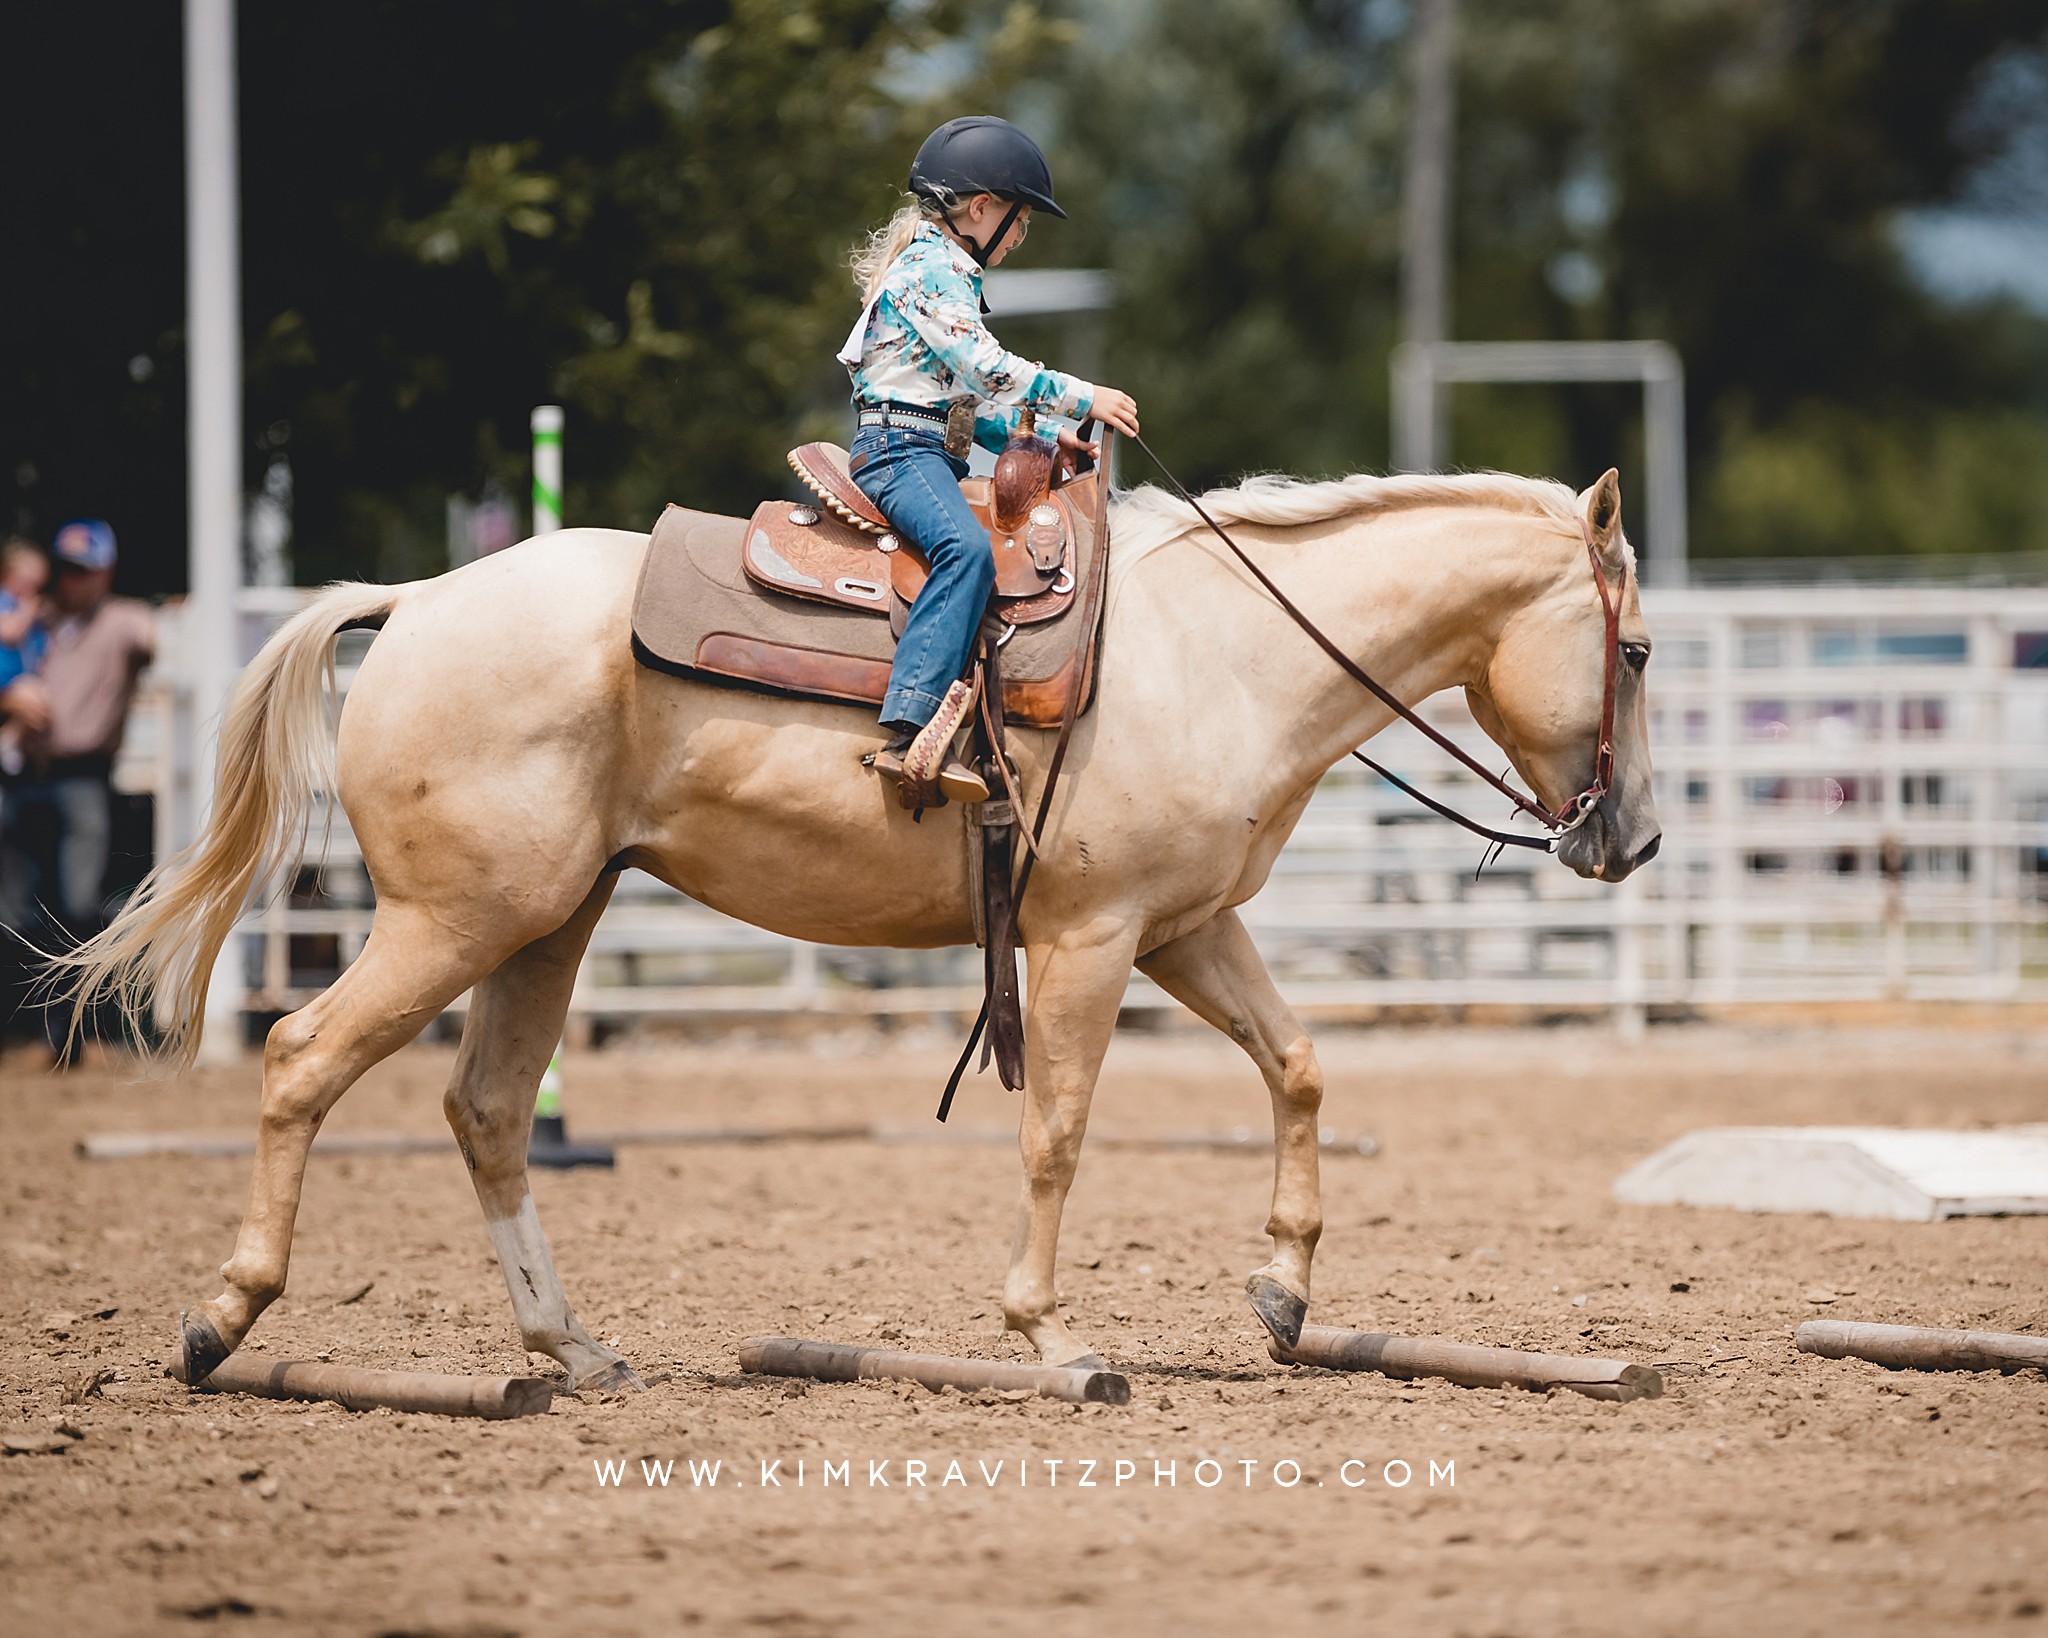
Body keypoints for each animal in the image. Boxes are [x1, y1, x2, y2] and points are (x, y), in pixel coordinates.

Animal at [68, 466, 1662, 1392]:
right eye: (1638, 649)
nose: (1636, 838)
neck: (1222, 649)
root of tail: (415, 602)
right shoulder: (1088, 941)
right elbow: (1058, 1131)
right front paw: (1051, 1335)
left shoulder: (1185, 929)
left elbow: (1301, 1064)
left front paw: (1280, 1289)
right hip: (451, 920)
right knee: (303, 1059)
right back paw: (222, 1320)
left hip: (544, 922)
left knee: (489, 1108)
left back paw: (567, 1346)